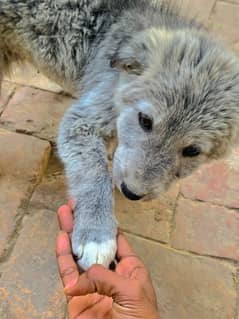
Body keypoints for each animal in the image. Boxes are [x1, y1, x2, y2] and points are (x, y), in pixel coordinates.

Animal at [0, 0, 239, 270]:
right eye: (145, 120)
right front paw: (96, 233)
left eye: (192, 151)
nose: (131, 193)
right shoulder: (83, 121)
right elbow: (95, 173)